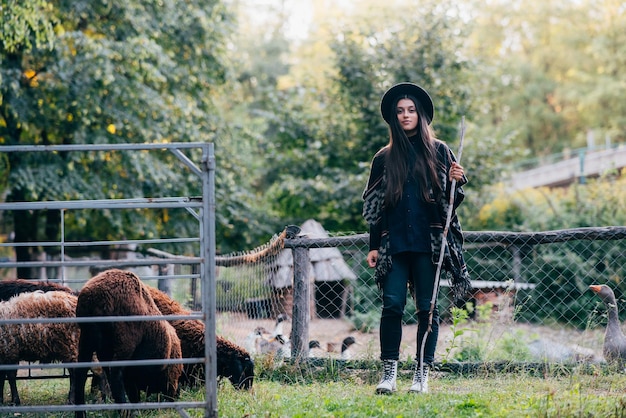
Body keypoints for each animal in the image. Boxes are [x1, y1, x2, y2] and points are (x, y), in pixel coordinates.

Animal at [73, 270, 182, 416]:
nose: (177, 394)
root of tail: (92, 297)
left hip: (87, 338)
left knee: (81, 373)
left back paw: (81, 412)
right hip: (125, 340)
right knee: (115, 373)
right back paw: (124, 410)